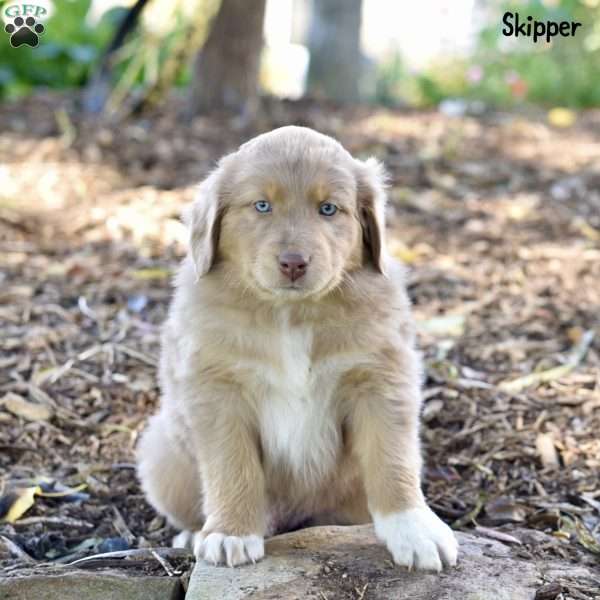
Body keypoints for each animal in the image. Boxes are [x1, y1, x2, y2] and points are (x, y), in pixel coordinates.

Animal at [136, 125, 458, 572]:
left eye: (328, 209)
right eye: (262, 205)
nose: (294, 263)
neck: (292, 314)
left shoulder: (381, 378)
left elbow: (392, 458)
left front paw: (414, 529)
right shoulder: (217, 389)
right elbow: (231, 464)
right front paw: (231, 533)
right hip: (162, 453)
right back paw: (193, 533)